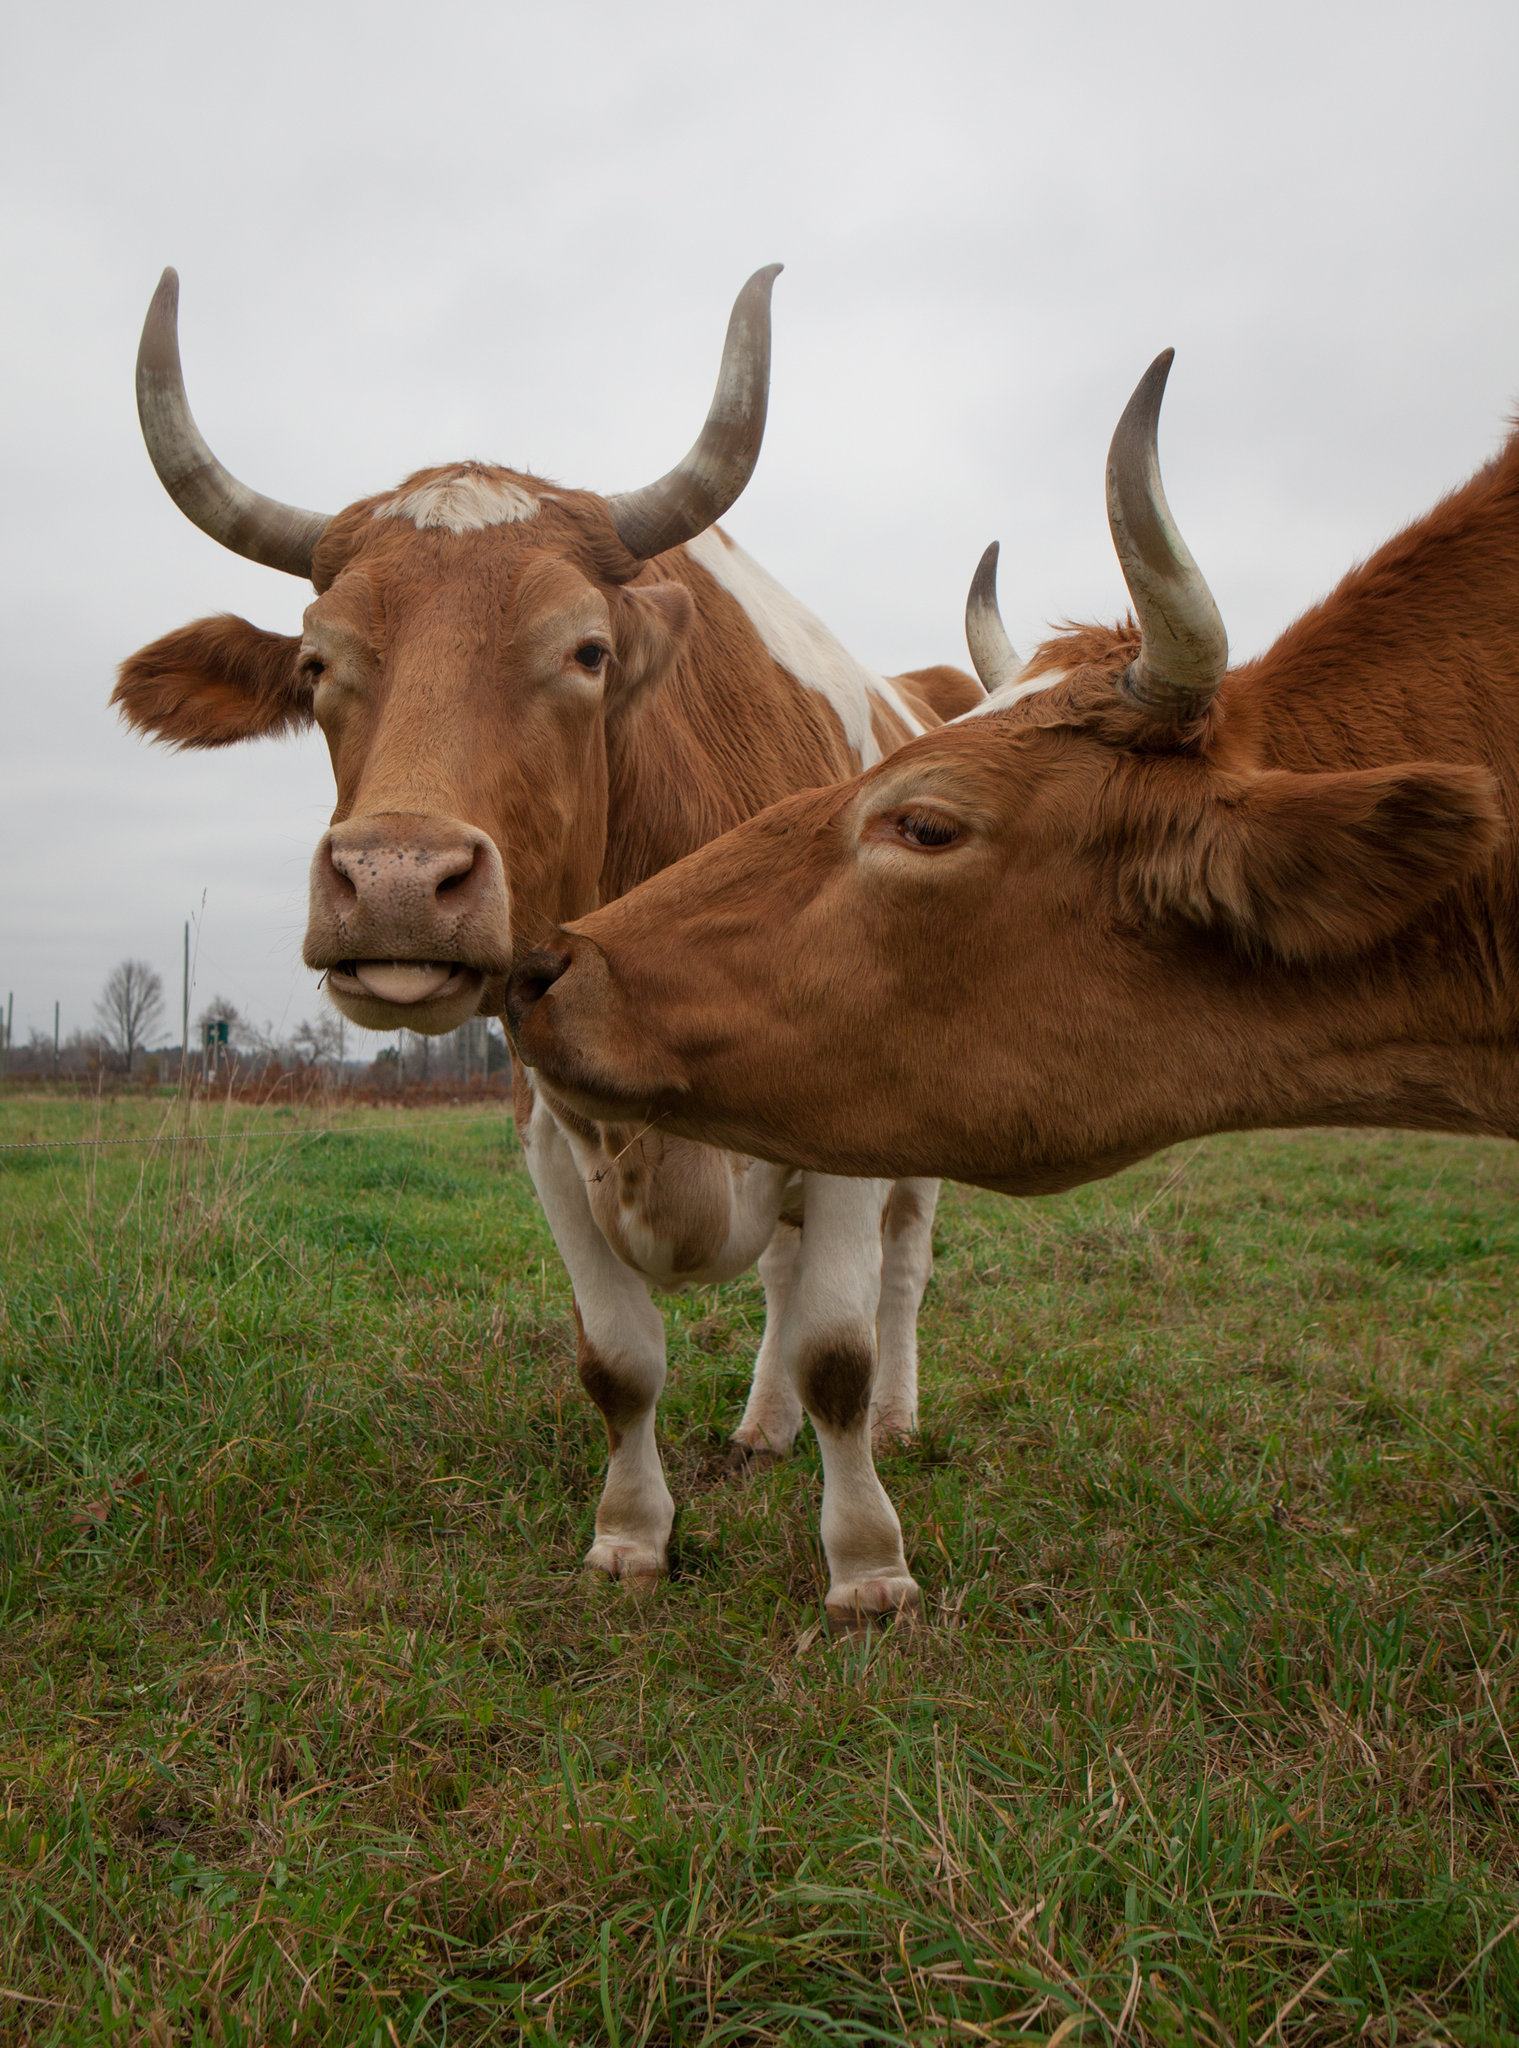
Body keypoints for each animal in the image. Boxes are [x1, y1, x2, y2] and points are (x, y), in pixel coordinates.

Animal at [113, 272, 982, 1622]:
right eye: (314, 662)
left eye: (586, 650)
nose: (397, 881)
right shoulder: (545, 1126)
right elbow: (618, 1358)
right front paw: (630, 1534)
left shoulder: (846, 1115)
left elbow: (839, 1341)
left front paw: (868, 1563)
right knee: (782, 1280)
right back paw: (760, 1423)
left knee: (895, 1268)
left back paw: (890, 1418)